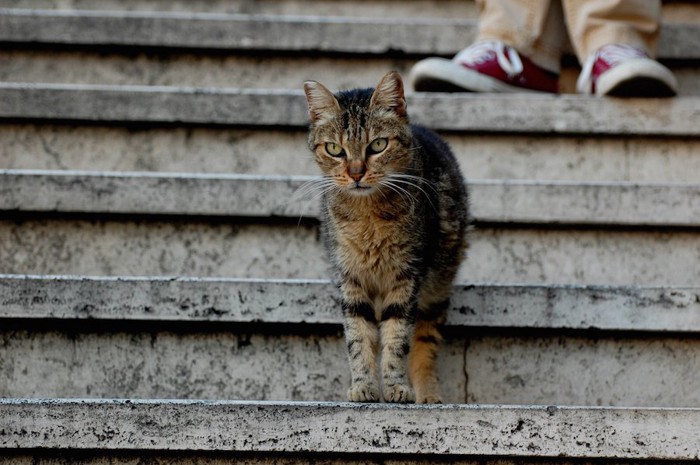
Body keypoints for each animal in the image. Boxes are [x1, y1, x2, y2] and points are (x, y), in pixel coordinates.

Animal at [304, 70, 468, 400]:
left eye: (378, 145)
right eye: (334, 149)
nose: (356, 173)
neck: (368, 217)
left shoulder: (407, 276)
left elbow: (397, 339)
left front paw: (395, 385)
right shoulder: (350, 278)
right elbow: (358, 338)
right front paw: (363, 385)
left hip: (437, 286)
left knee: (424, 345)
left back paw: (427, 393)